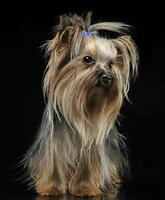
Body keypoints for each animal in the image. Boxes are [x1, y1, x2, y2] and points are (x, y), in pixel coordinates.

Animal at [23, 11, 139, 196]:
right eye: (87, 59)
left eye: (110, 64)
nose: (107, 77)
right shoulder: (54, 143)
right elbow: (54, 163)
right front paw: (52, 187)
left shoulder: (91, 144)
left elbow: (87, 166)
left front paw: (84, 188)